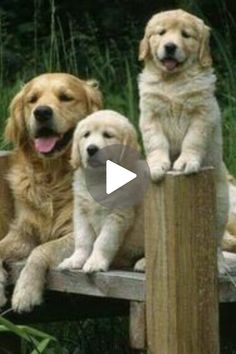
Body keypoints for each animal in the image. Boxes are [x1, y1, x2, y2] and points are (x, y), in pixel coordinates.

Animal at [0, 73, 101, 312]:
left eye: (66, 97)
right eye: (32, 99)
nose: (42, 112)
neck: (52, 177)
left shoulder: (79, 232)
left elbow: (41, 249)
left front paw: (25, 291)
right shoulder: (23, 232)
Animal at [58, 110, 144, 272]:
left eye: (108, 135)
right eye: (86, 135)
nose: (91, 149)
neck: (100, 179)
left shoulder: (117, 215)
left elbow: (103, 241)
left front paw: (95, 262)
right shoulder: (81, 212)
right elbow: (83, 239)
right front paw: (75, 259)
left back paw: (143, 262)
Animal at [138, 9, 229, 274]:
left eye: (185, 35)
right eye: (161, 33)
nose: (170, 46)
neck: (173, 81)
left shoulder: (202, 115)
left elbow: (192, 141)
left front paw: (186, 162)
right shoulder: (150, 115)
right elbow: (156, 143)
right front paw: (157, 165)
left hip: (220, 204)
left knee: (215, 241)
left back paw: (219, 265)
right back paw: (145, 262)